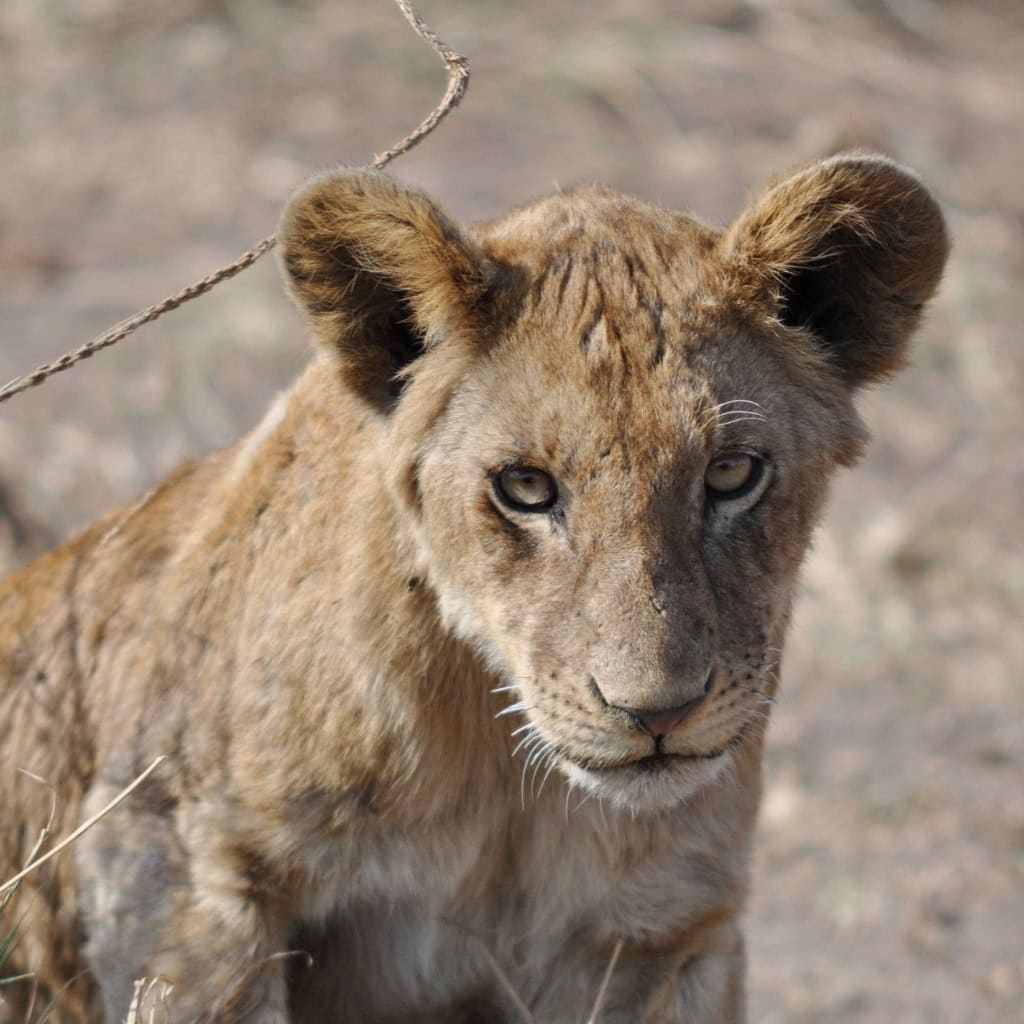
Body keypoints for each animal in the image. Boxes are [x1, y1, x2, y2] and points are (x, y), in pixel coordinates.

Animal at [0, 152, 947, 1023]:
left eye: (731, 473)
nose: (657, 714)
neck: (506, 793)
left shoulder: (664, 935)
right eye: (525, 487)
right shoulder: (176, 858)